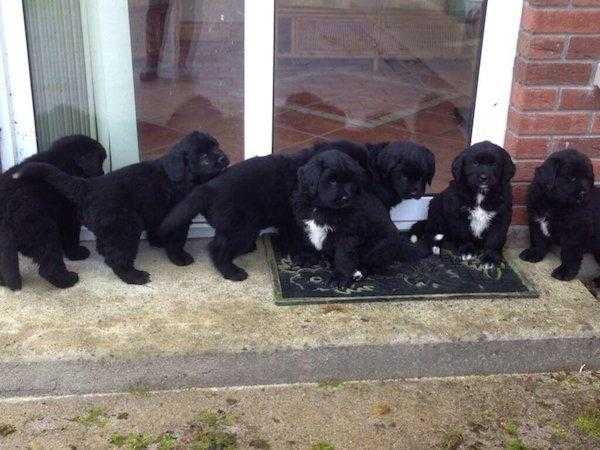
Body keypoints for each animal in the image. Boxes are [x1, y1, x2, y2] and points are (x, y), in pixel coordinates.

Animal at [0, 134, 105, 288]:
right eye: (99, 162)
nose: (103, 173)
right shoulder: (69, 215)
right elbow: (71, 236)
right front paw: (76, 253)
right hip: (41, 227)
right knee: (49, 262)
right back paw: (66, 279)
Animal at [15, 131, 230, 284]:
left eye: (216, 146)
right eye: (204, 157)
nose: (224, 158)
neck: (180, 175)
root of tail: (88, 187)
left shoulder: (158, 212)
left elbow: (158, 228)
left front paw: (158, 242)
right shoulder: (179, 217)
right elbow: (177, 239)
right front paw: (180, 258)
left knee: (106, 246)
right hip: (126, 226)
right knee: (116, 258)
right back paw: (133, 276)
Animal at [292, 149, 426, 286]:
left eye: (351, 182)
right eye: (332, 181)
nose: (345, 199)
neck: (320, 207)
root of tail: (399, 246)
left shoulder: (347, 234)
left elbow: (343, 256)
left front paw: (340, 278)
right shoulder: (305, 223)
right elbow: (308, 241)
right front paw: (307, 257)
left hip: (378, 246)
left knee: (373, 264)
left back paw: (358, 273)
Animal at [516, 148, 596, 282]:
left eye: (588, 179)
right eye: (571, 178)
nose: (583, 194)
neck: (553, 204)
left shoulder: (574, 231)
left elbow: (570, 252)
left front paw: (565, 271)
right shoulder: (536, 221)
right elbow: (537, 239)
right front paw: (533, 254)